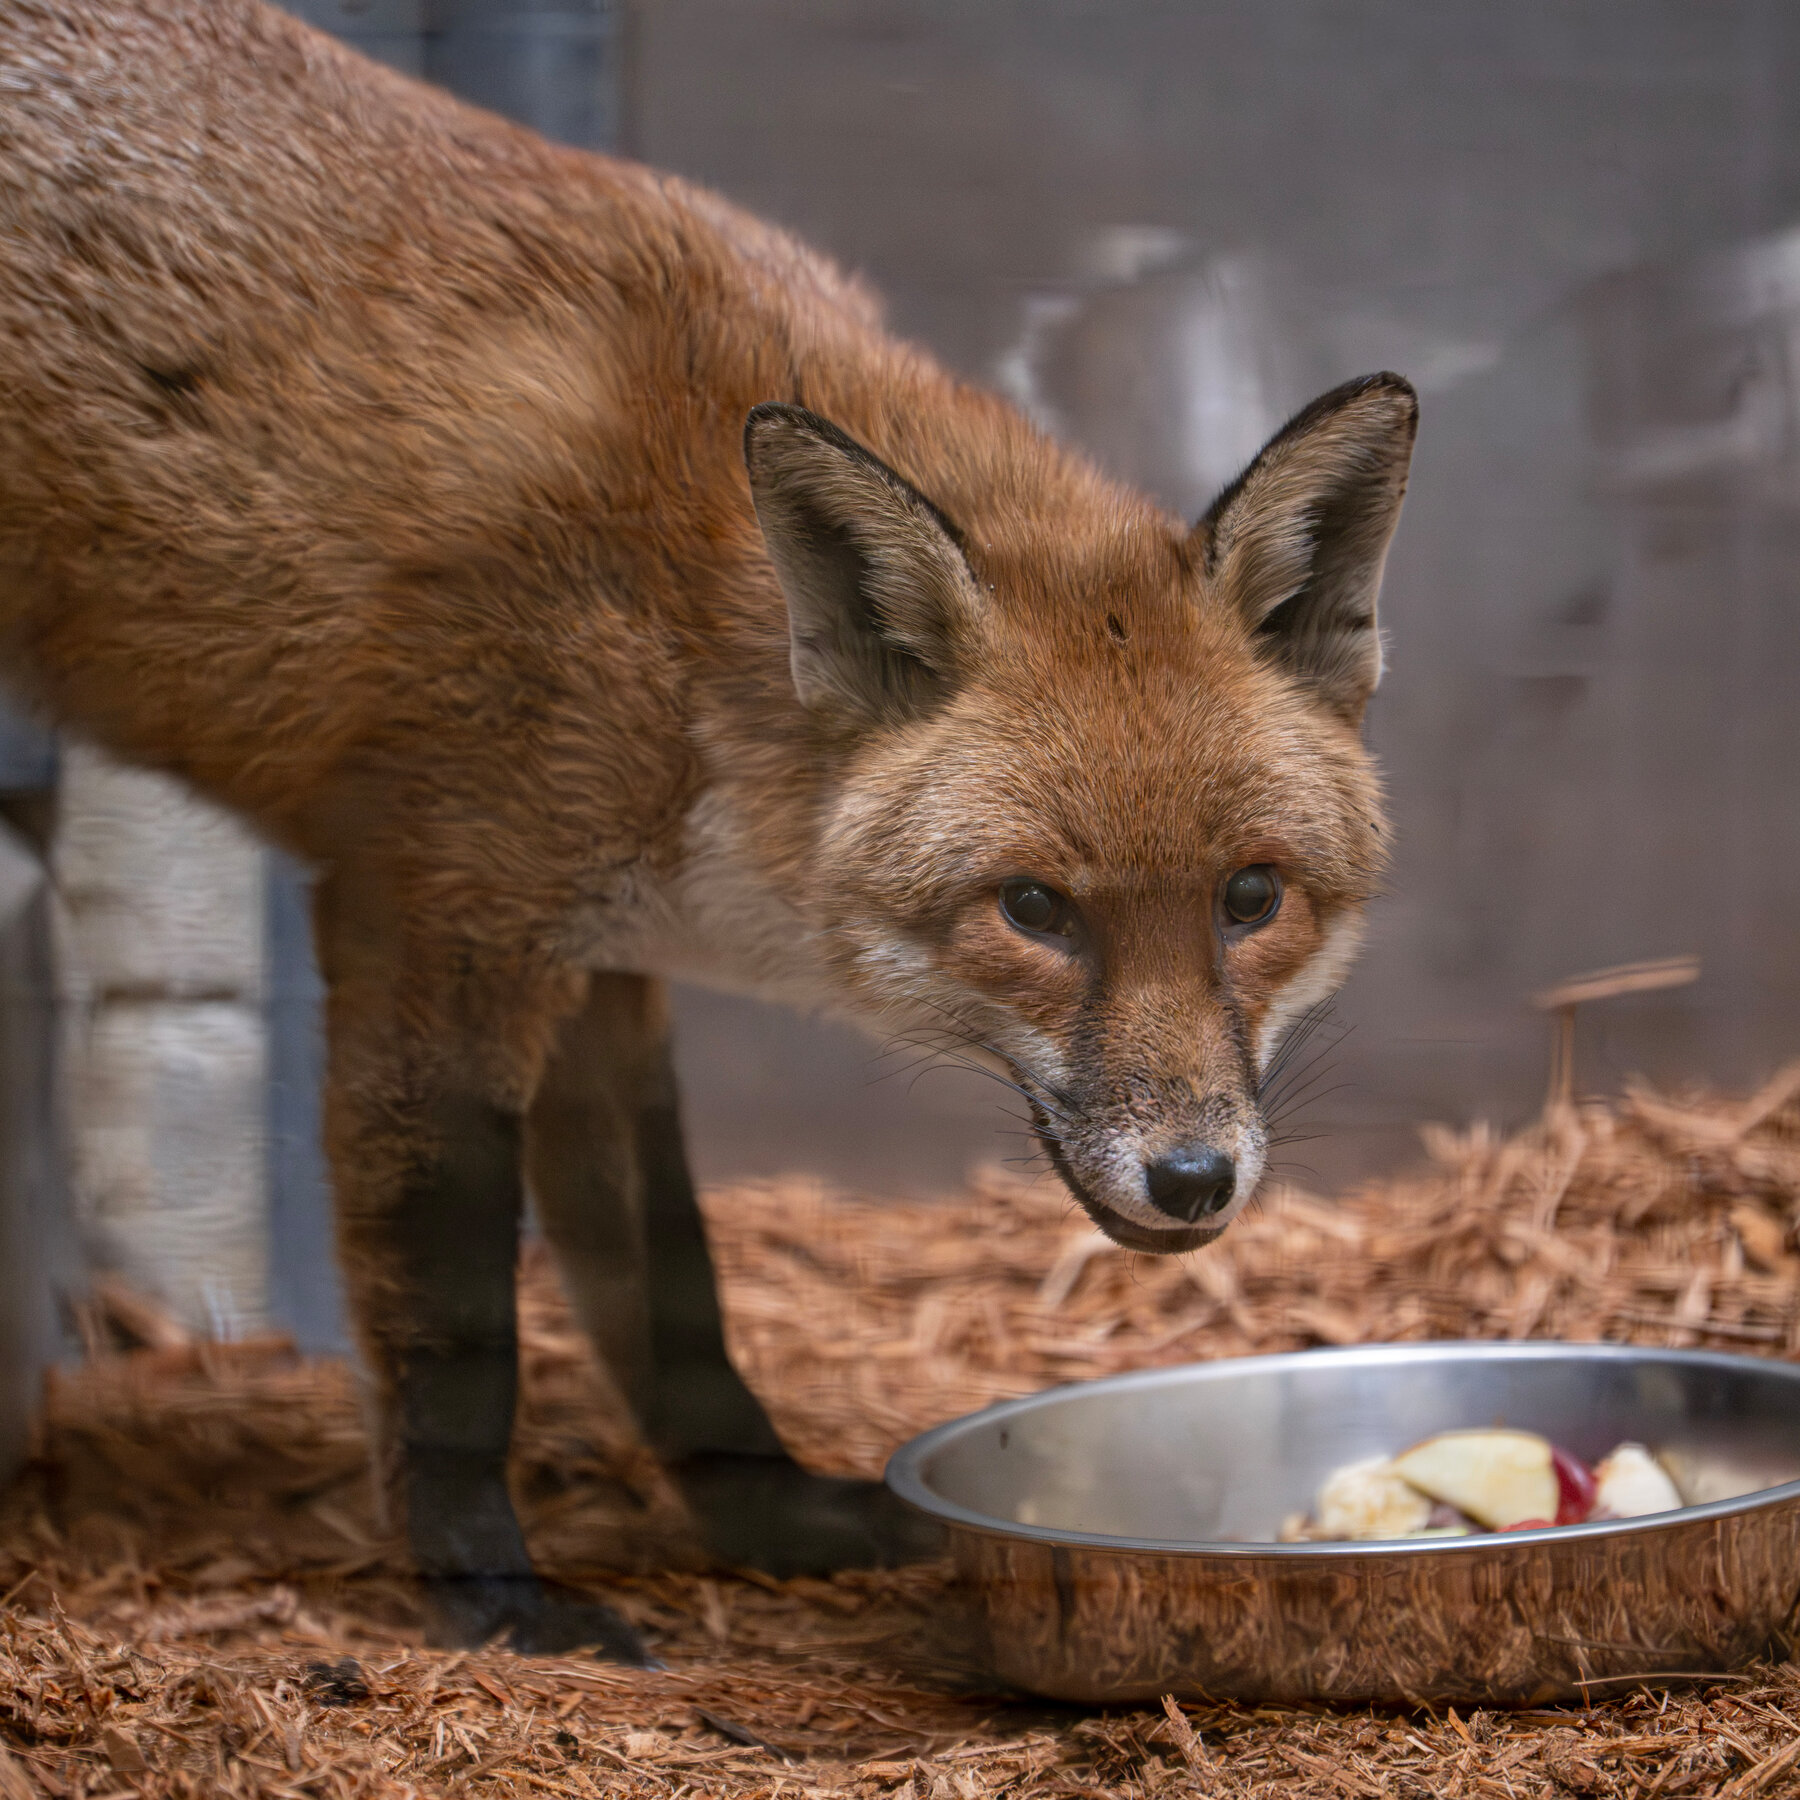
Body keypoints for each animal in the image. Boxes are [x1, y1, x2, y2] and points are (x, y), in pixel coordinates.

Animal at [0, 0, 1416, 1659]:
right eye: (1035, 911)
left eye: (1251, 897)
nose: (1195, 1181)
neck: (685, 641)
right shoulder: (432, 917)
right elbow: (456, 1316)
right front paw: (490, 1589)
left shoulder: (602, 965)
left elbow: (673, 1294)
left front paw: (773, 1521)